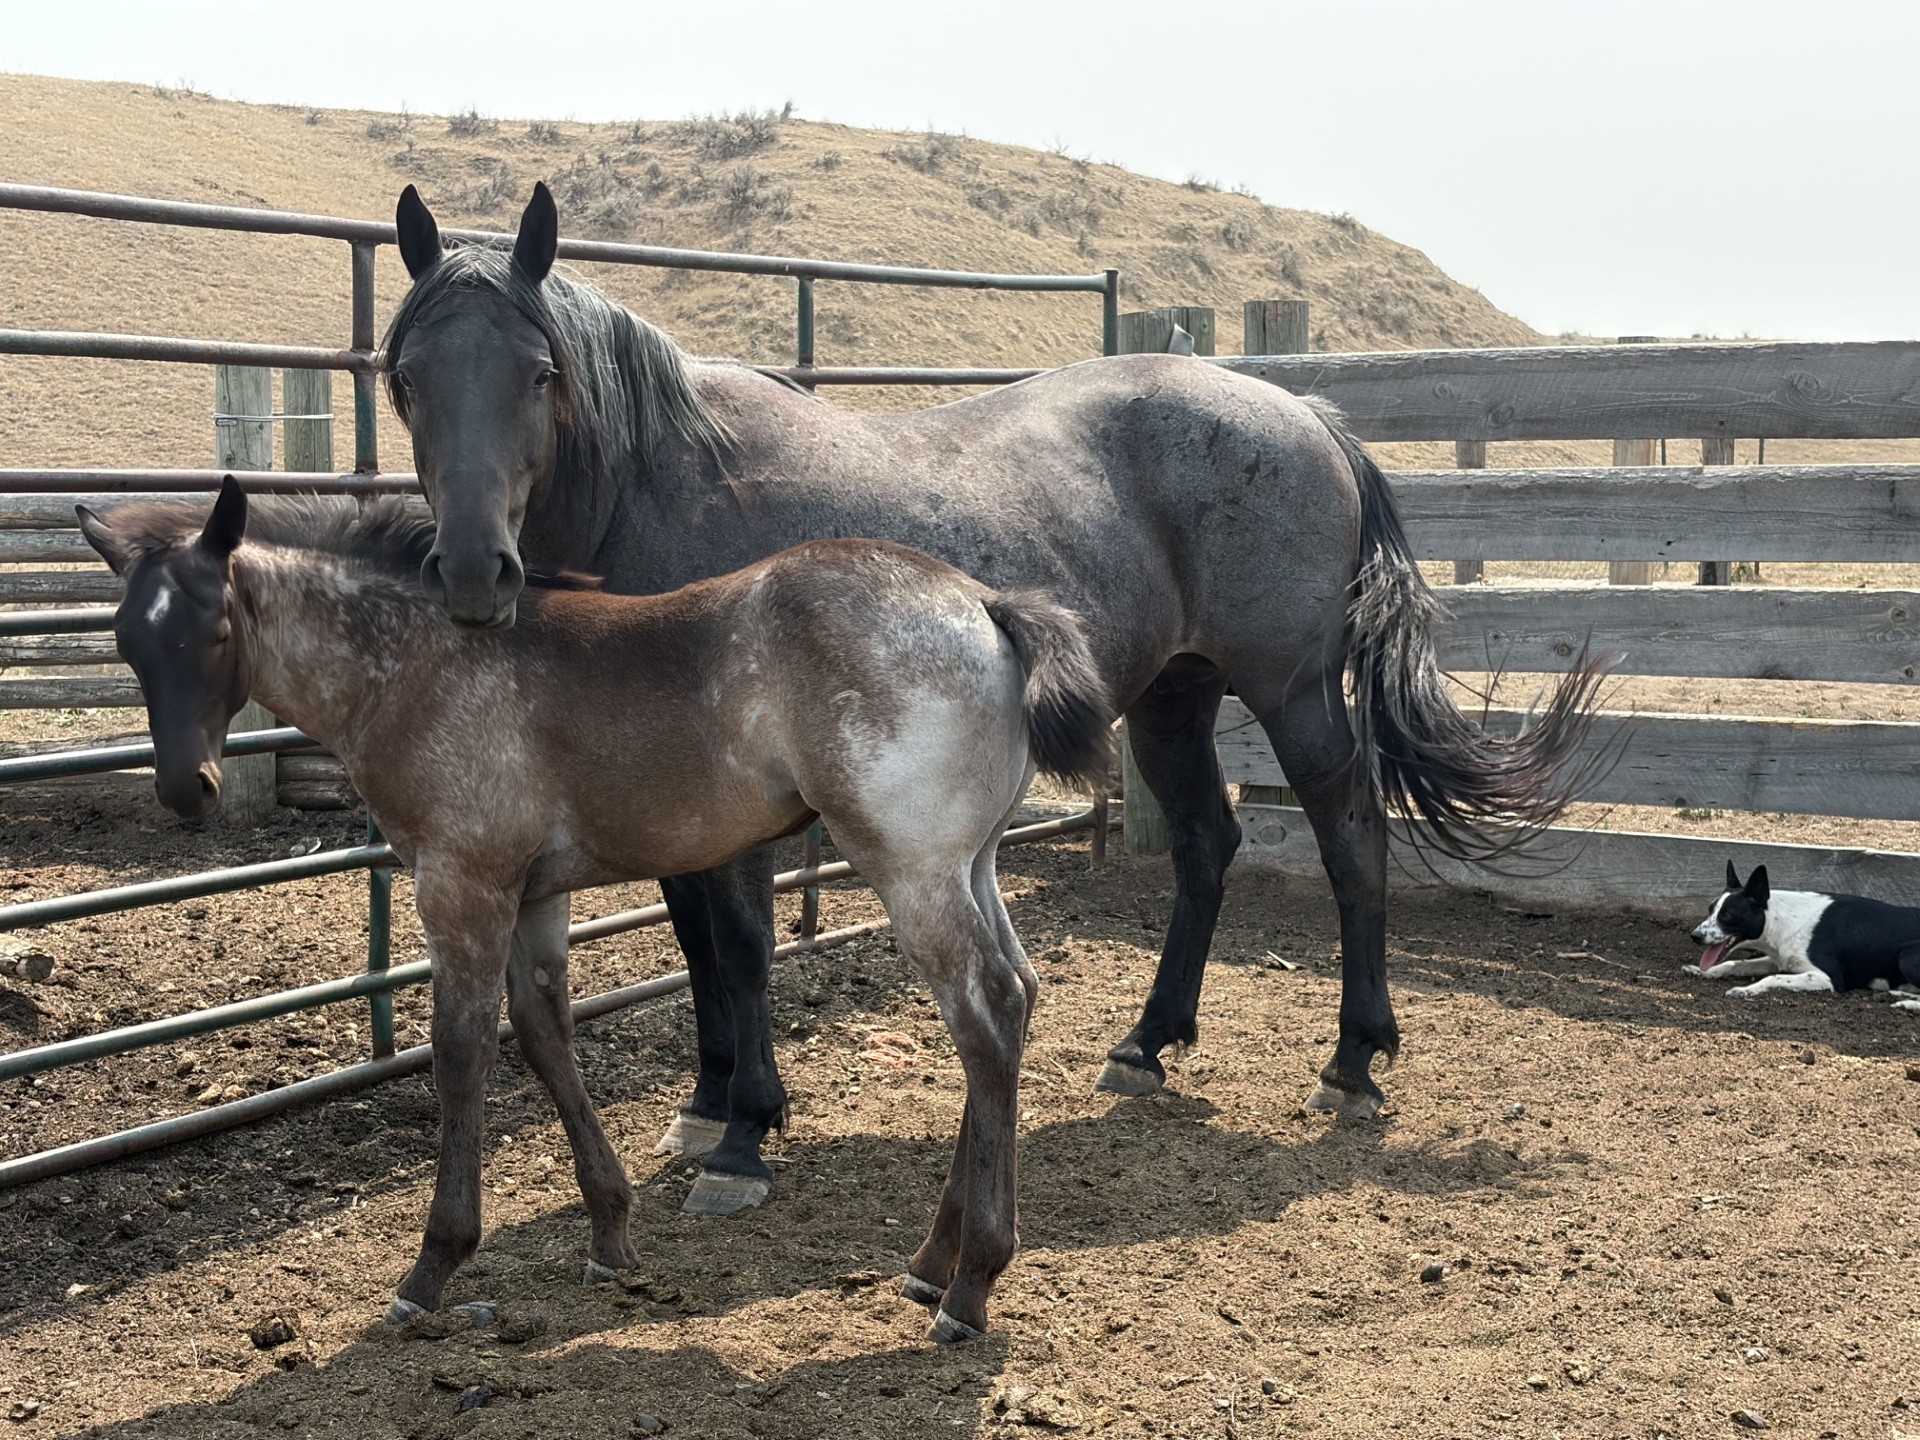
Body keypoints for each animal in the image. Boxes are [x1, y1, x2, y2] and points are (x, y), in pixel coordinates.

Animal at [77, 478, 1113, 1343]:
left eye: (215, 630)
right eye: (127, 642)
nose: (185, 789)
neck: (419, 661)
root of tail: (985, 606)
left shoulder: (461, 882)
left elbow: (460, 1053)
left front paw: (432, 1267)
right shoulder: (533, 894)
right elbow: (546, 1036)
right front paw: (610, 1234)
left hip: (912, 869)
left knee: (983, 1017)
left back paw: (971, 1285)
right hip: (972, 862)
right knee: (1018, 995)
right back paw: (932, 1261)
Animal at [383, 181, 1609, 1207]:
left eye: (540, 373)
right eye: (403, 379)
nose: (473, 571)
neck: (666, 487)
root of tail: (1310, 416)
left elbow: (740, 945)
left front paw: (744, 1135)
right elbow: (696, 944)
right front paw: (706, 1106)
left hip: (1294, 688)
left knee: (1351, 833)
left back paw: (1353, 1060)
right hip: (1170, 698)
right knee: (1205, 843)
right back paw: (1147, 1043)